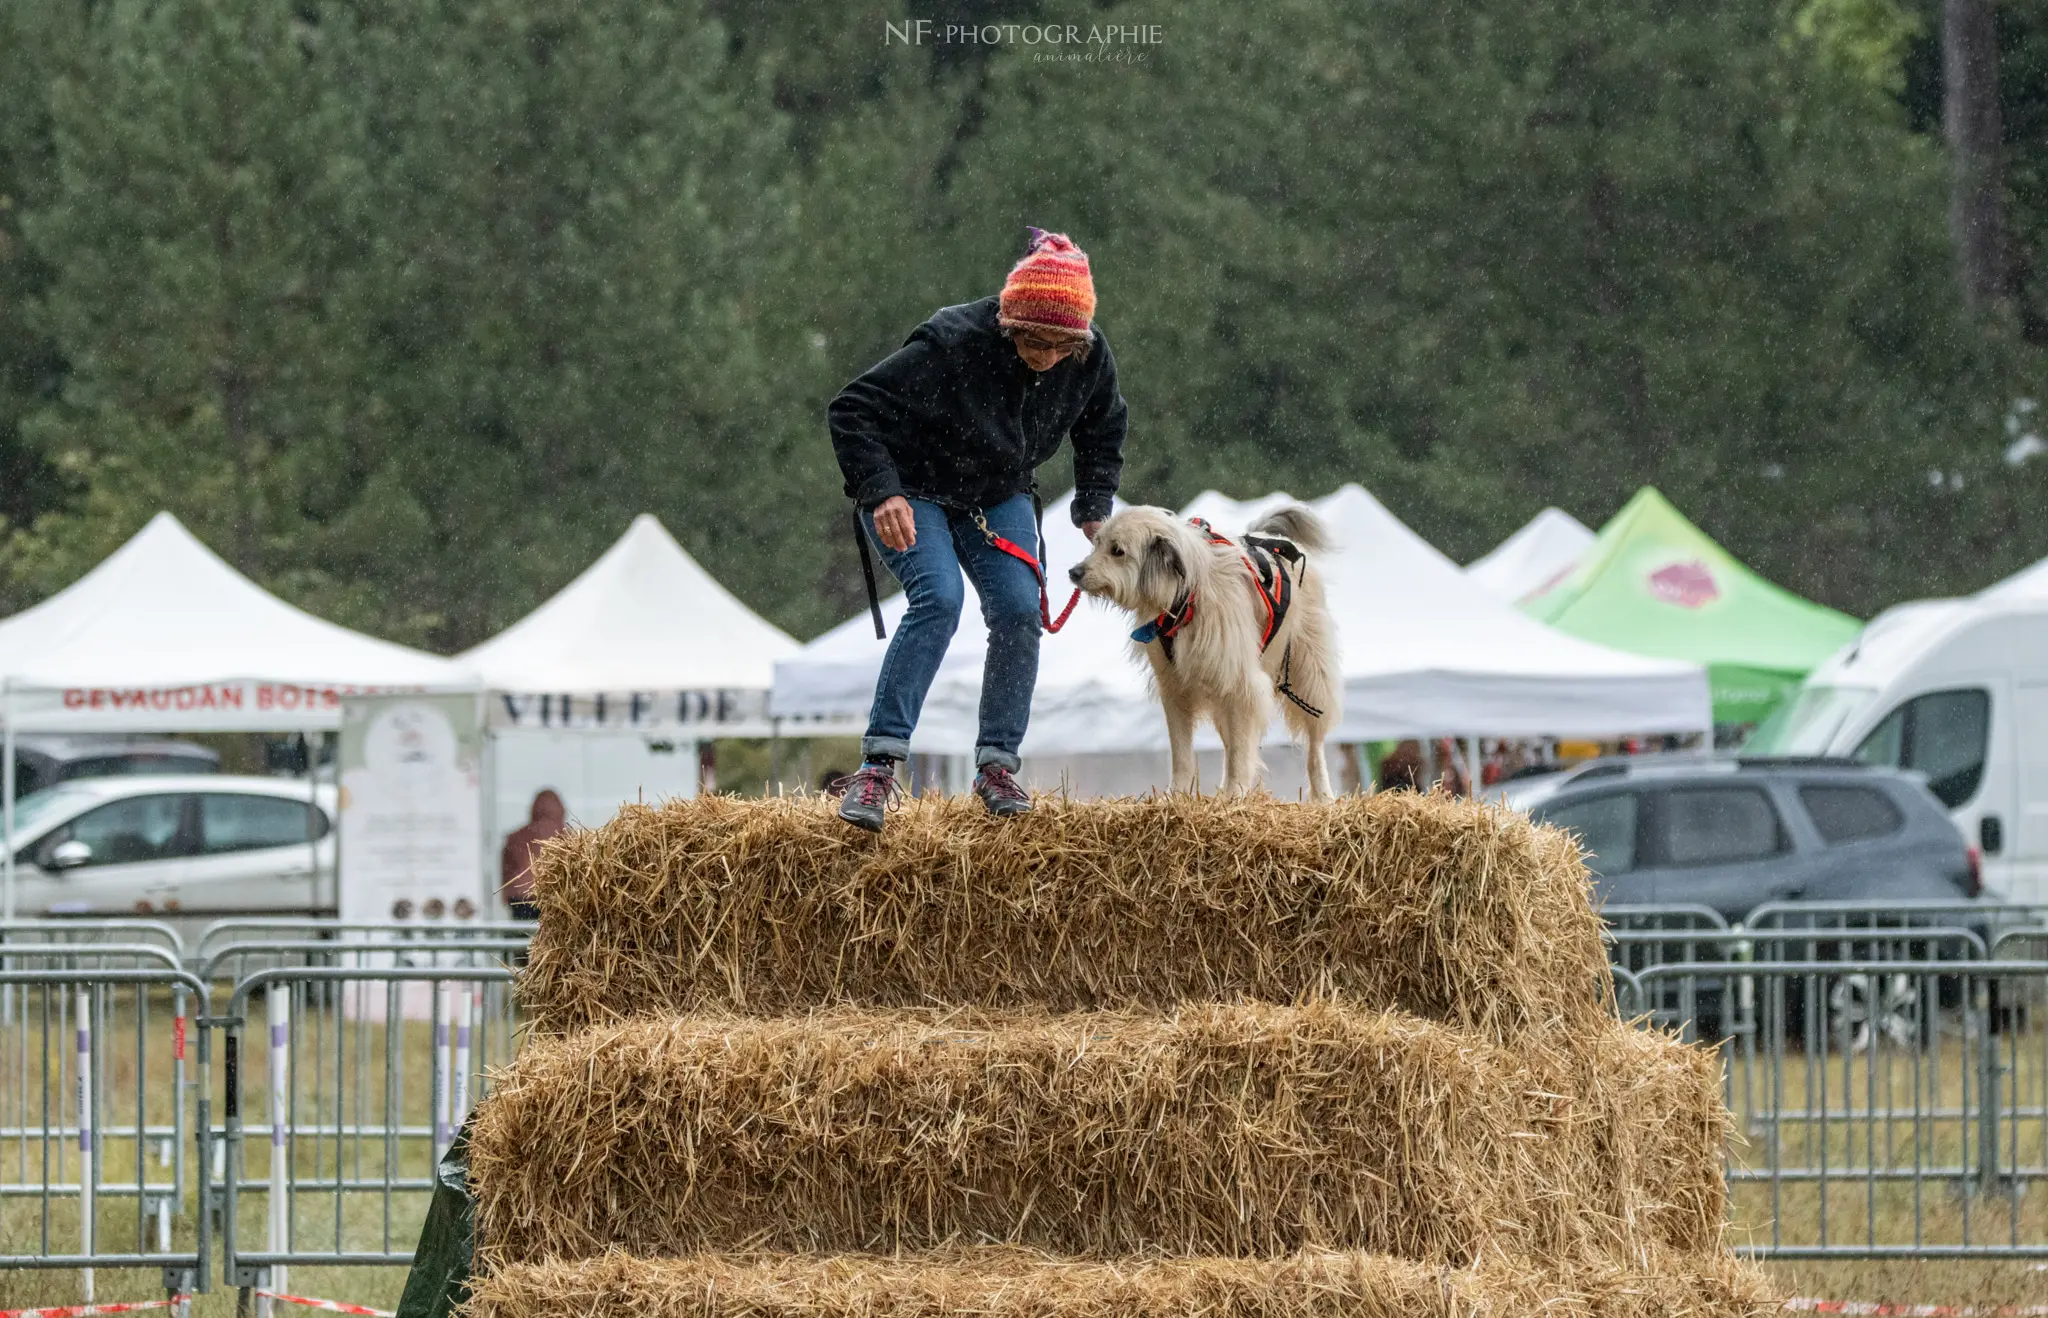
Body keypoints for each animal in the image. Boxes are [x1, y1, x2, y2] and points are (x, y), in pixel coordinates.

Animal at [1073, 501, 1343, 794]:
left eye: (1117, 550)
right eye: (1097, 542)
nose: (1073, 573)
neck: (1185, 596)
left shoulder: (1240, 685)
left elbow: (1239, 751)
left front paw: (1235, 794)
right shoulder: (1175, 687)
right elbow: (1182, 752)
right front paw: (1177, 795)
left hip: (1310, 677)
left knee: (1314, 745)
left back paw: (1323, 795)